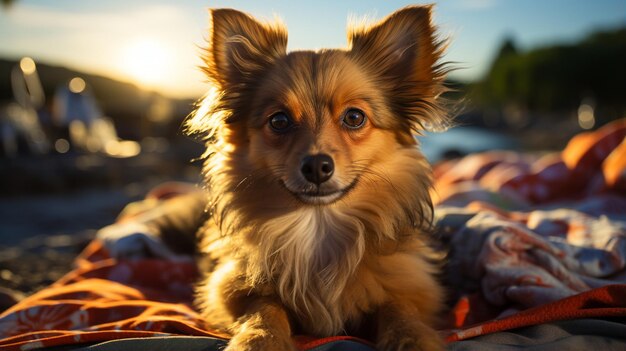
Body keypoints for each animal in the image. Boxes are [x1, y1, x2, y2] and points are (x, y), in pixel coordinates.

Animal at [173, 4, 450, 351]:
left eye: (354, 117)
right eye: (279, 121)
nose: (317, 165)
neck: (318, 226)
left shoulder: (411, 285)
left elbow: (399, 307)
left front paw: (411, 337)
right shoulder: (229, 287)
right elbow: (263, 308)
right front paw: (259, 339)